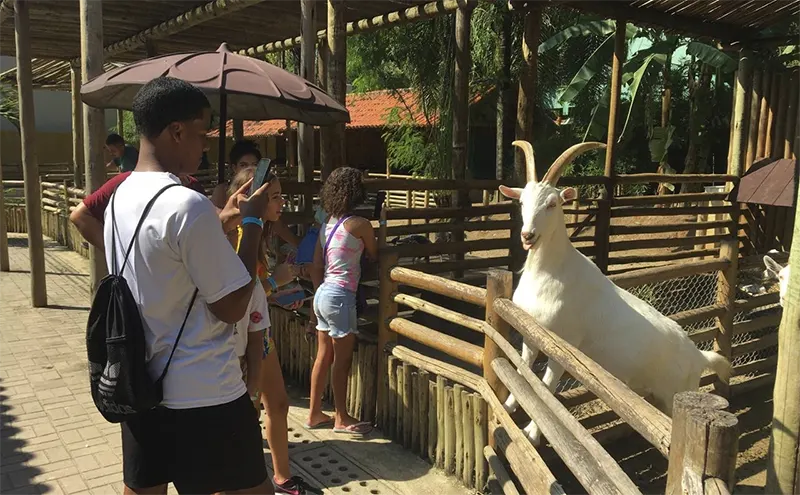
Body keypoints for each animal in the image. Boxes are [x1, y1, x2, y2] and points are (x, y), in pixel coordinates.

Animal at [504, 140, 736, 446]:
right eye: (522, 202)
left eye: (552, 203)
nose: (528, 235)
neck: (550, 272)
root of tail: (699, 357)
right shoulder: (530, 333)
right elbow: (523, 366)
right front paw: (509, 405)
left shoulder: (565, 341)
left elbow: (547, 384)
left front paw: (531, 433)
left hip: (674, 396)